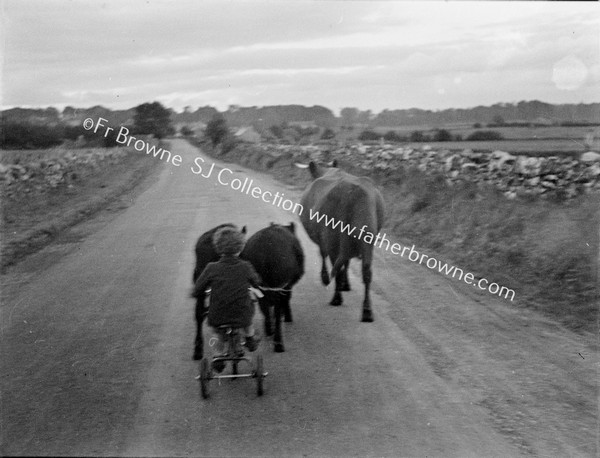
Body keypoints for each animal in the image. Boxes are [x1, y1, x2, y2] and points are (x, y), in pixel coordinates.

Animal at [240, 224, 302, 352]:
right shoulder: (286, 286)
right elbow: (285, 301)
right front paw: (288, 316)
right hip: (278, 285)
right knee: (277, 310)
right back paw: (278, 343)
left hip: (260, 285)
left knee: (264, 307)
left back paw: (269, 330)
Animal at [296, 161, 384, 322]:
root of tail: (352, 191)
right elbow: (346, 263)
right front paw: (346, 283)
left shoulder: (323, 240)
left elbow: (323, 255)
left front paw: (326, 278)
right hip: (367, 240)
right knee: (366, 272)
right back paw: (367, 311)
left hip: (333, 239)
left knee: (335, 264)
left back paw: (336, 298)